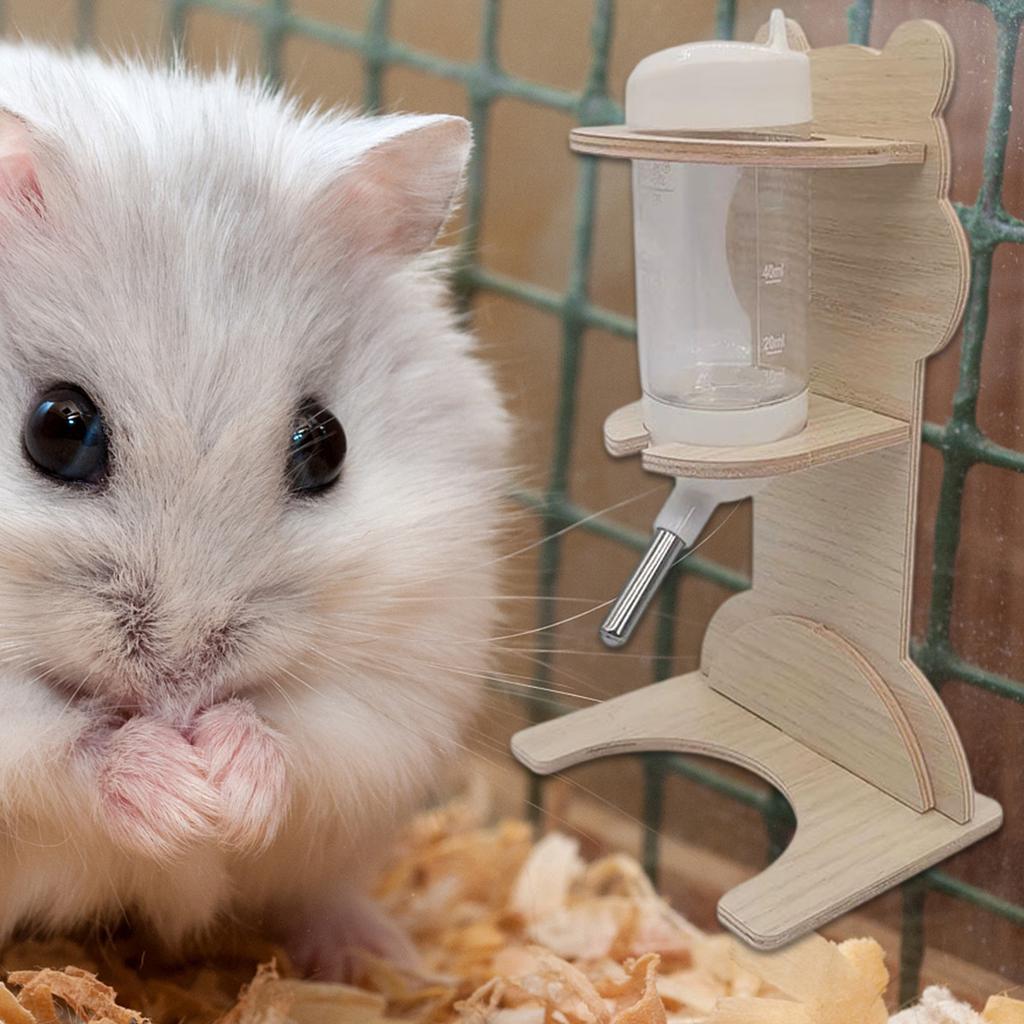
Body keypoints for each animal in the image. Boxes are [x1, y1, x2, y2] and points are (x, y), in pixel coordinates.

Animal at [0, 44, 509, 975]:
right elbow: (62, 747)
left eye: (327, 445)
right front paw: (181, 800)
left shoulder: (407, 668)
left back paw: (379, 961)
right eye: (58, 430)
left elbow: (303, 735)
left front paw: (224, 797)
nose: (181, 689)